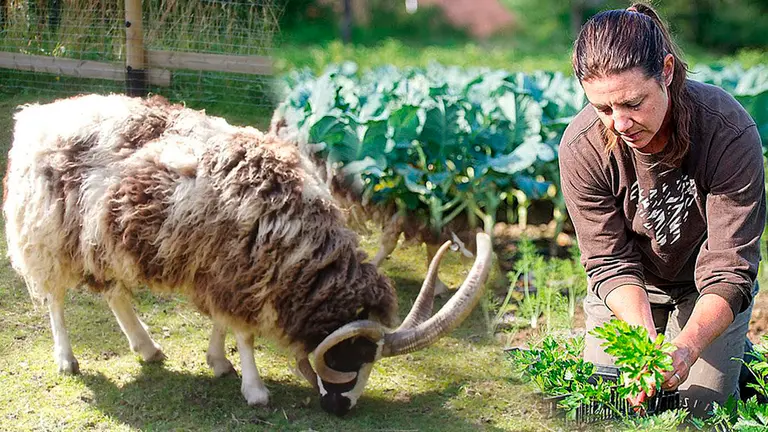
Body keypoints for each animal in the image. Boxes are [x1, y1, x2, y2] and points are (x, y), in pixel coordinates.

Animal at [2, 93, 492, 416]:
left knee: (114, 293)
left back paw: (148, 348)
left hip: (101, 240)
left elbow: (224, 323)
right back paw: (67, 360)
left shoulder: (227, 273)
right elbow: (245, 334)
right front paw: (254, 389)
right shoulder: (237, 271)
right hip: (44, 234)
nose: (340, 409)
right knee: (56, 299)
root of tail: (36, 115)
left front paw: (218, 362)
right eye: (348, 355)